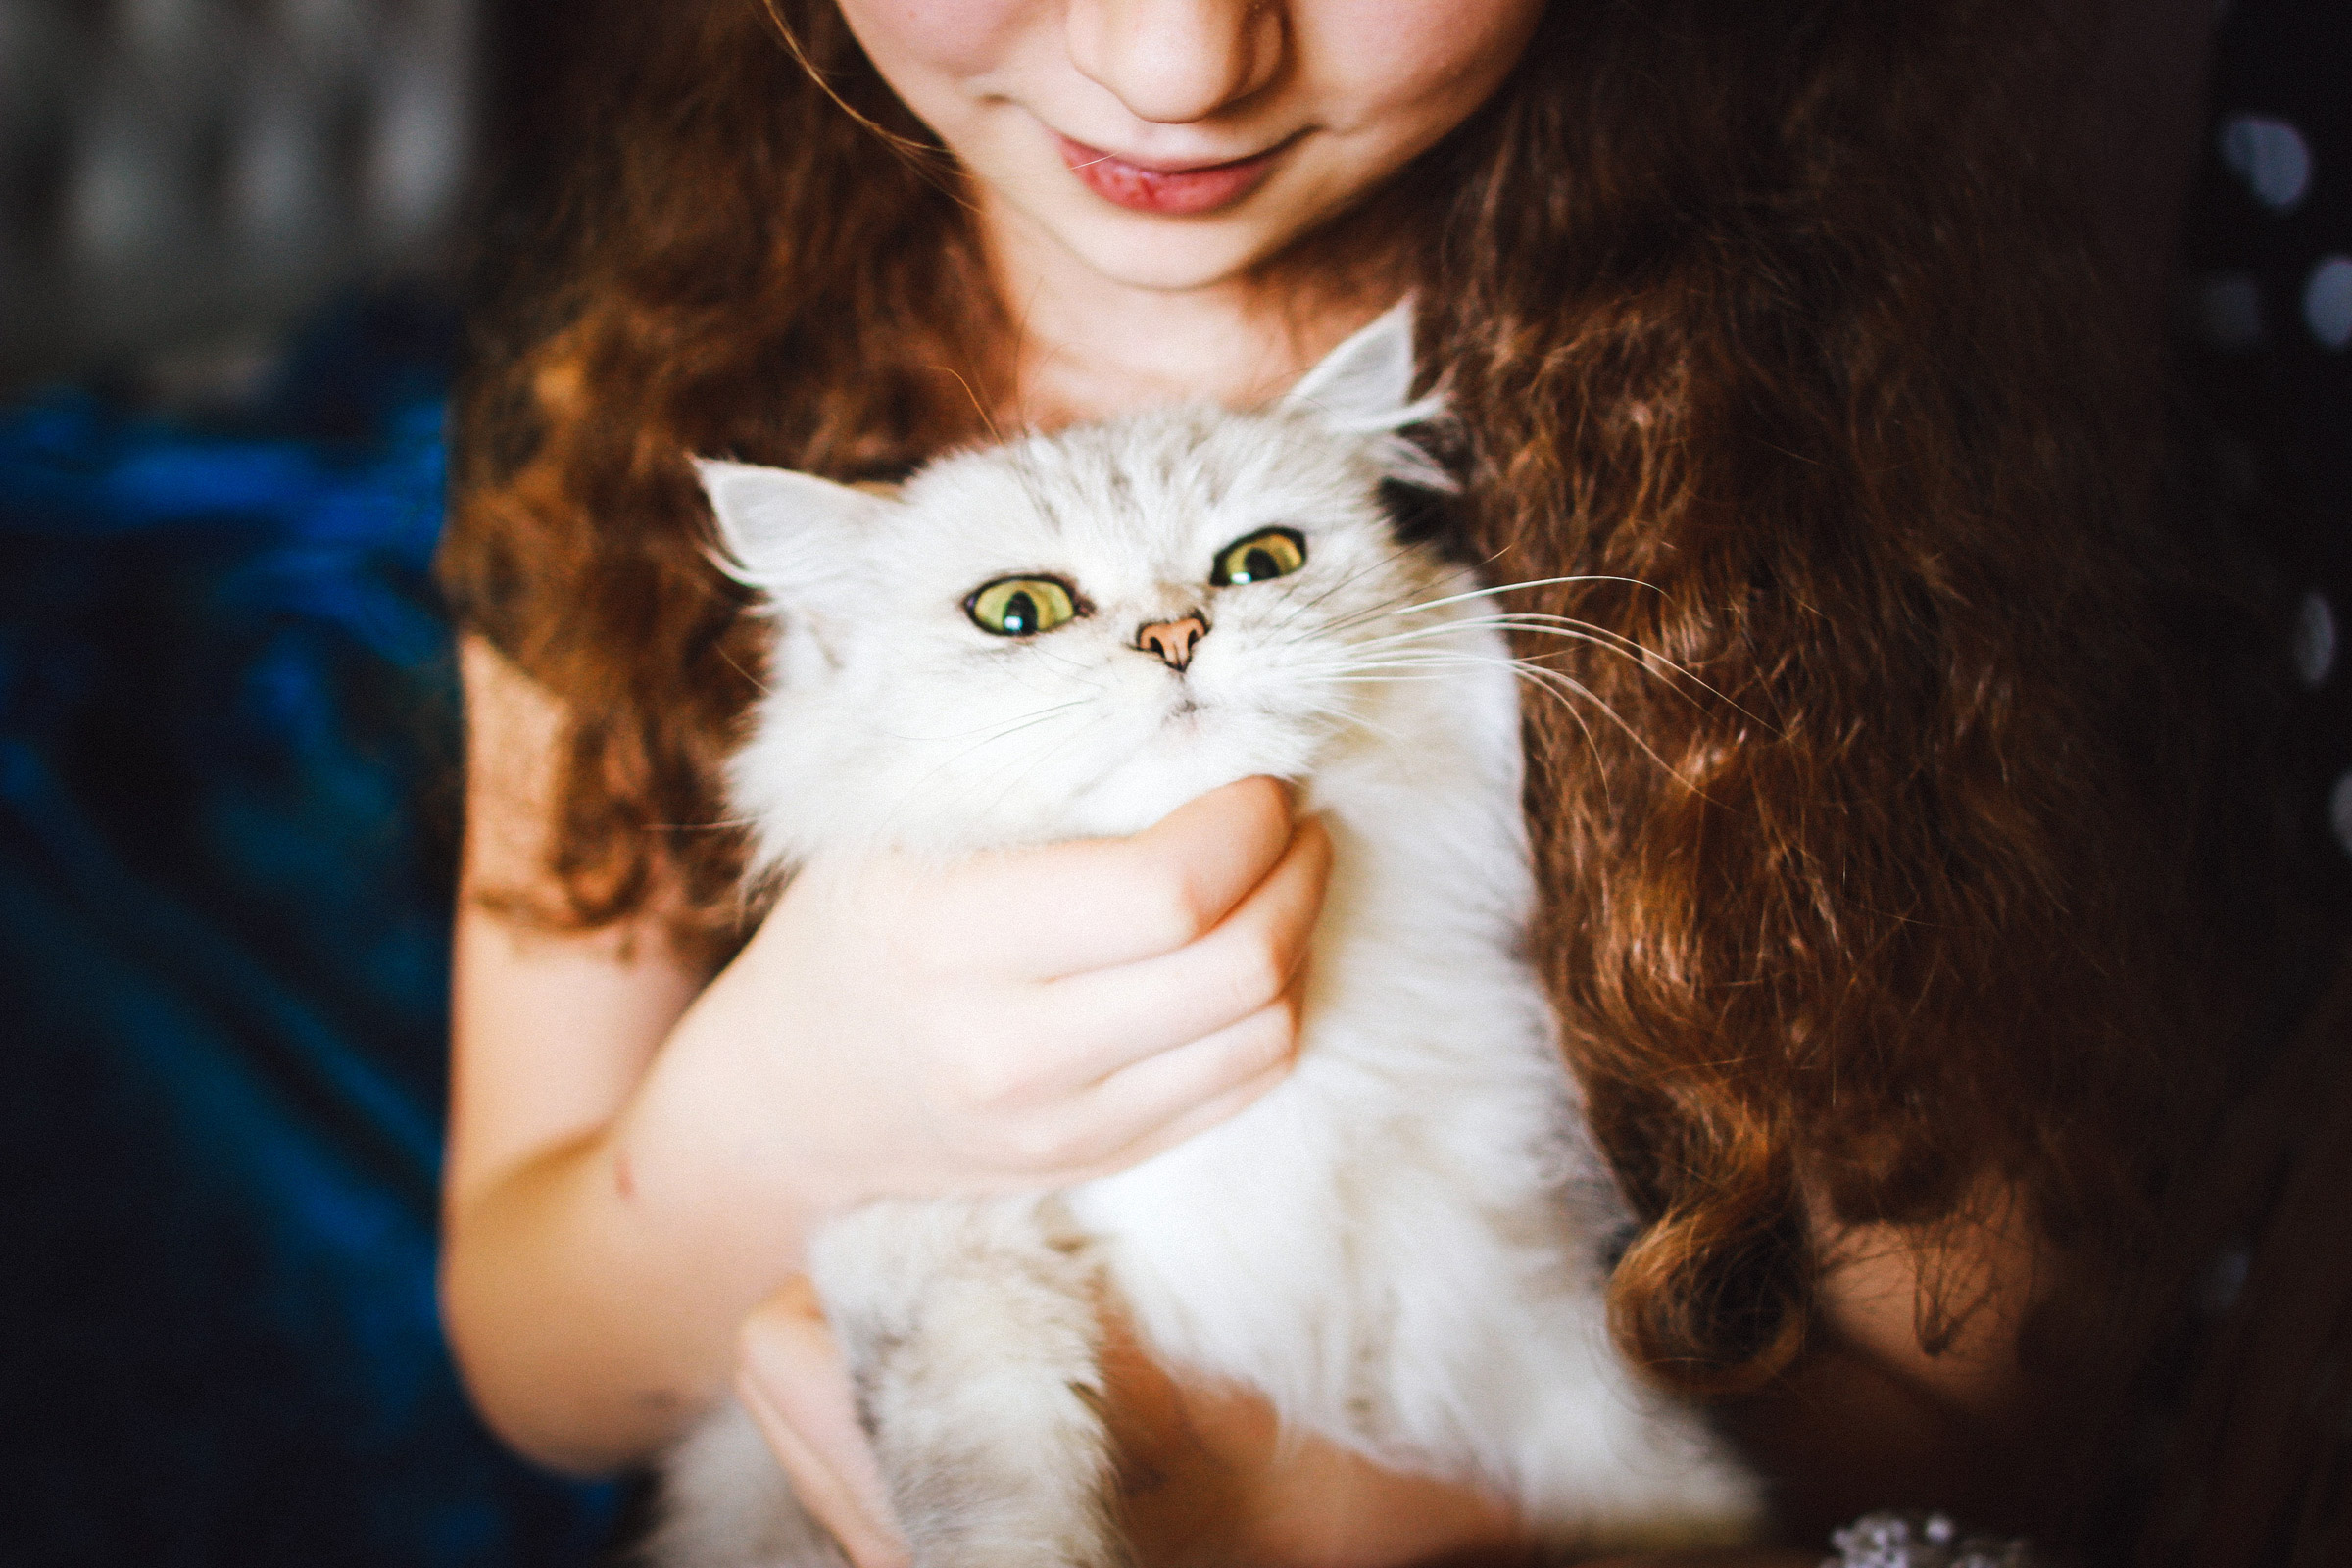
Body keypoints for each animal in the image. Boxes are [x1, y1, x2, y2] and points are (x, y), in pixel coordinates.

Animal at [654, 305, 1759, 1568]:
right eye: (1018, 612)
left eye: (1261, 562)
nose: (1176, 633)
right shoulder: (930, 1246)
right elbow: (1000, 1484)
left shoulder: (1489, 1277)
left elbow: (1633, 1457)